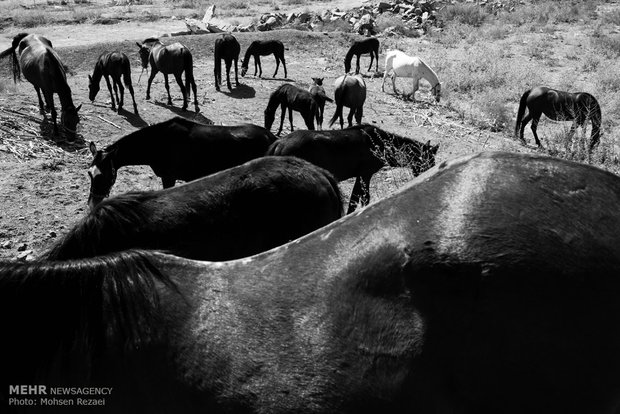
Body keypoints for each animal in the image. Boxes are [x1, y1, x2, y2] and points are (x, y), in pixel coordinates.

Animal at [86, 115, 274, 209]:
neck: (158, 143)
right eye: (89, 173)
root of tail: (271, 137)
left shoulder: (169, 178)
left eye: (106, 174)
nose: (93, 203)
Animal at [268, 123, 438, 213]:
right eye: (429, 162)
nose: (431, 173)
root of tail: (279, 142)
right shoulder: (365, 174)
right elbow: (363, 199)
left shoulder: (360, 176)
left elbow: (354, 200)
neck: (380, 143)